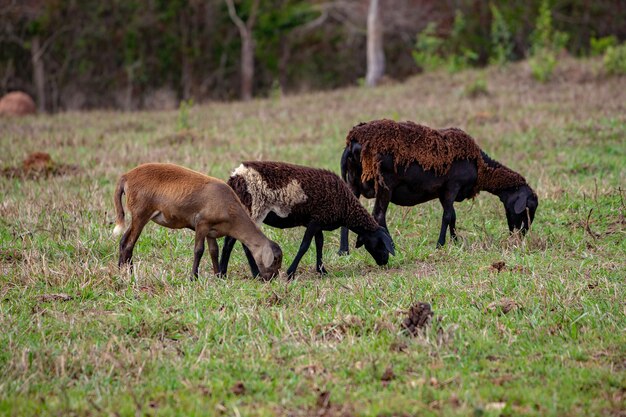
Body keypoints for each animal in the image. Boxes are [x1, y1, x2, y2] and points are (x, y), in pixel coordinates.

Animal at [219, 161, 392, 278]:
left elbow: (319, 244)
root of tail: (235, 177)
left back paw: (222, 273)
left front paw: (322, 270)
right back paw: (256, 274)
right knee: (243, 243)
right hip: (253, 210)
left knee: (229, 243)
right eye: (381, 243)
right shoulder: (315, 221)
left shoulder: (318, 221)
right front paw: (290, 273)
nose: (385, 261)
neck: (346, 207)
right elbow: (305, 246)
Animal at [338, 120, 540, 250]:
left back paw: (344, 250)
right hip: (384, 185)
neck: (480, 166)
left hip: (353, 181)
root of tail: (353, 142)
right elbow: (447, 216)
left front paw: (455, 242)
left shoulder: (444, 192)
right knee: (379, 215)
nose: (522, 235)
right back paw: (392, 245)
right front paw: (440, 244)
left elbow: (453, 216)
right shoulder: (452, 186)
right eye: (529, 207)